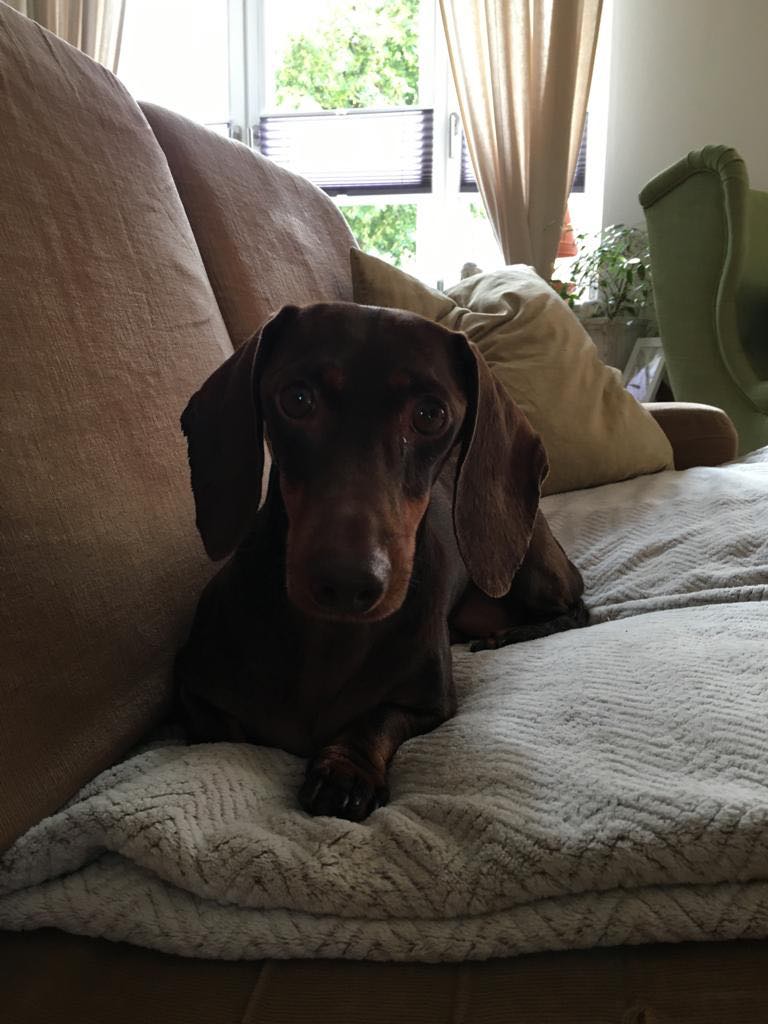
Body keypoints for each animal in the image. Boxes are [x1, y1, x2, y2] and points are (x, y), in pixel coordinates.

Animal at [175, 302, 588, 821]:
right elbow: (224, 732)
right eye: (297, 399)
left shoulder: (430, 705)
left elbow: (377, 718)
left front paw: (345, 770)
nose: (347, 583)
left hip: (533, 570)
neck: (329, 636)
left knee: (578, 609)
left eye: (430, 415)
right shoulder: (193, 693)